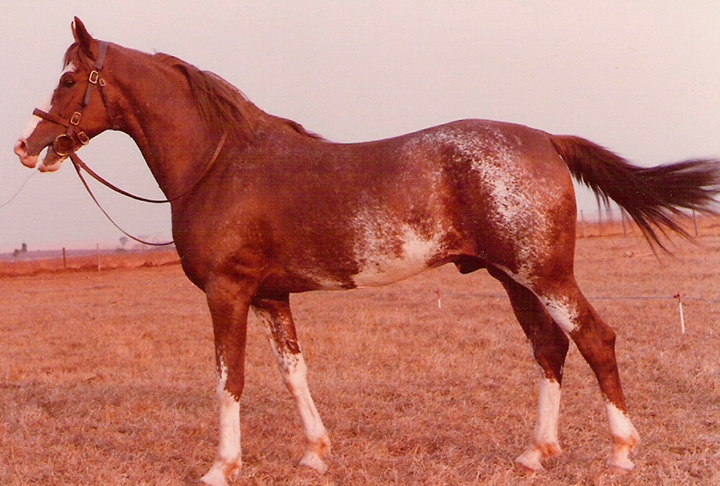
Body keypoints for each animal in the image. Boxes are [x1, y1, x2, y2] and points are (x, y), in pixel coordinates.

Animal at [11, 17, 720, 484]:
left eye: (69, 79)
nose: (26, 145)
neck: (220, 162)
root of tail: (546, 138)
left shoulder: (227, 294)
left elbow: (229, 378)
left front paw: (221, 465)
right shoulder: (272, 296)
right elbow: (293, 373)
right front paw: (314, 453)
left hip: (544, 274)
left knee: (596, 339)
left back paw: (621, 452)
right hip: (514, 279)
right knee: (549, 350)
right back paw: (534, 453)